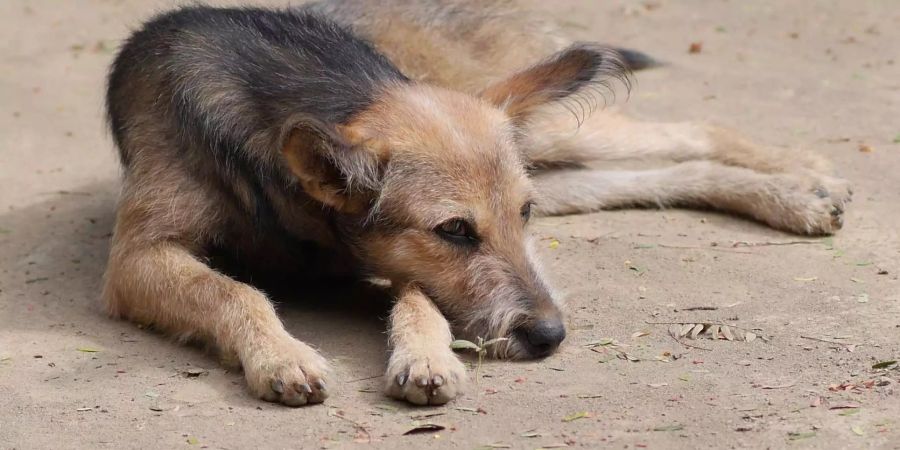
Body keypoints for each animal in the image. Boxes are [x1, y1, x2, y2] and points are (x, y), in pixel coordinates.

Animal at [103, 0, 852, 406]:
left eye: (520, 216)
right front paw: (281, 356)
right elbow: (235, 291)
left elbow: (419, 300)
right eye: (455, 230)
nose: (551, 338)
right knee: (669, 171)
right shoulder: (138, 259)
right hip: (556, 162)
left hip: (544, 136)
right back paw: (799, 194)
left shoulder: (387, 260)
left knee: (695, 129)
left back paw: (803, 176)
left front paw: (425, 357)